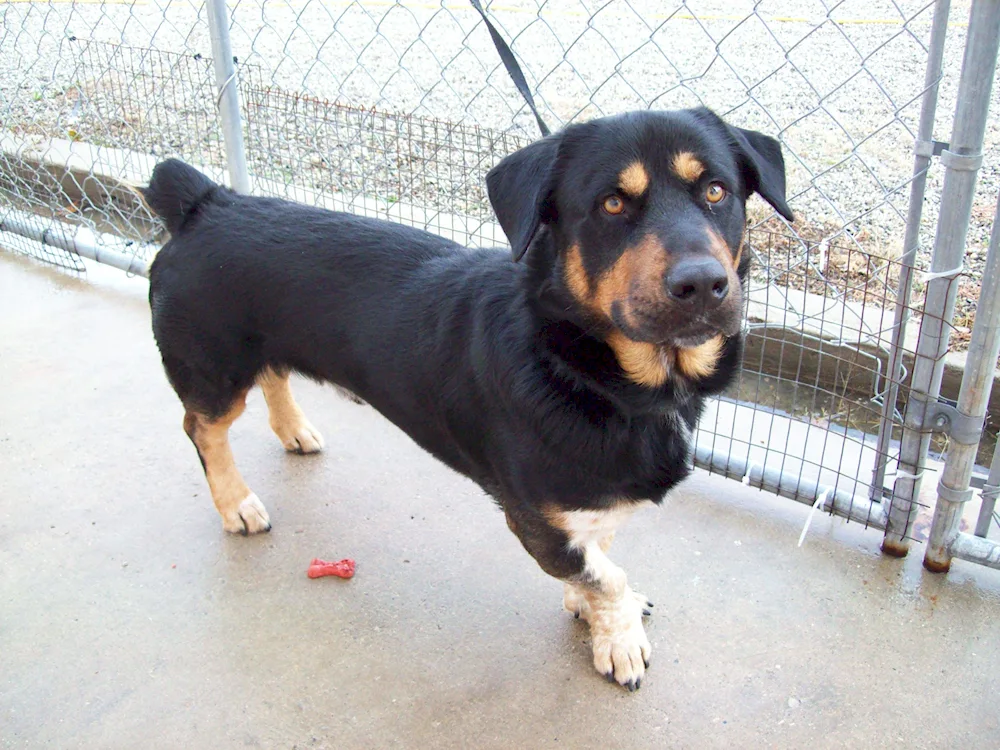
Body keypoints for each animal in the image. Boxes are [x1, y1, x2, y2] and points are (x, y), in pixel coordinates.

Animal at [145, 106, 792, 692]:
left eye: (716, 190)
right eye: (611, 204)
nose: (702, 284)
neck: (581, 366)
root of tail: (206, 202)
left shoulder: (586, 506)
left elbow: (599, 554)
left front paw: (592, 610)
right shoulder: (535, 518)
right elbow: (603, 575)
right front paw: (620, 634)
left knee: (273, 375)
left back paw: (294, 431)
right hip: (213, 371)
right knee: (202, 429)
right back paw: (237, 504)